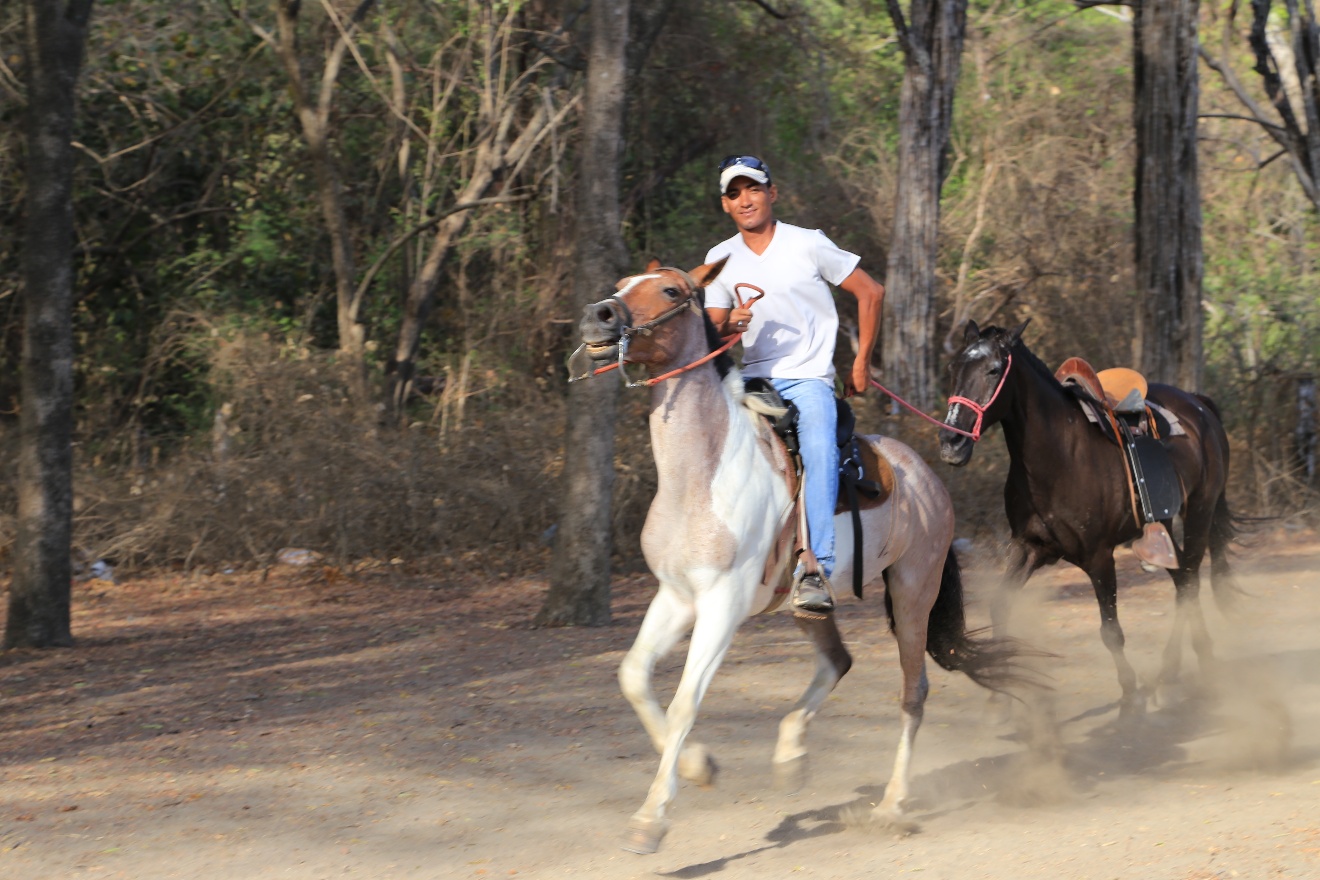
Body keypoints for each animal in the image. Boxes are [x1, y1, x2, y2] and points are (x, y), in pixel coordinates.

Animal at [571, 258, 1031, 854]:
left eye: (671, 290)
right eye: (622, 285)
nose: (599, 315)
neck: (701, 475)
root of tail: (925, 476)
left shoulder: (721, 605)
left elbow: (684, 701)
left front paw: (651, 819)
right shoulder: (675, 596)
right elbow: (633, 676)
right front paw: (699, 767)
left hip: (913, 593)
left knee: (914, 692)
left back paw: (892, 805)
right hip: (810, 605)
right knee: (838, 660)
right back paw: (791, 754)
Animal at [938, 320, 1240, 715]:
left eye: (993, 370)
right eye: (953, 368)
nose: (951, 443)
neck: (1059, 456)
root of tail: (1198, 404)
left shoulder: (1099, 557)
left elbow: (1111, 631)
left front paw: (1128, 697)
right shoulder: (1029, 548)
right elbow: (999, 606)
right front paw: (999, 698)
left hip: (1200, 513)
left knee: (1189, 582)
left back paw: (1188, 666)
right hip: (1163, 530)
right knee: (1182, 580)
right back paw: (1177, 668)